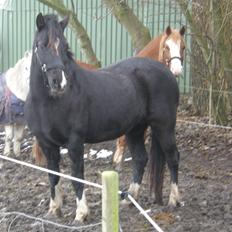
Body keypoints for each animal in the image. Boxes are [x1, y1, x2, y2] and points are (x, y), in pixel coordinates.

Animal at [25, 13, 181, 222]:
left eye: (65, 46)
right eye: (42, 45)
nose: (59, 83)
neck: (48, 102)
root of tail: (167, 72)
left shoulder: (75, 143)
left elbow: (77, 177)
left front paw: (81, 213)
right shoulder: (47, 144)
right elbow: (53, 176)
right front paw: (54, 209)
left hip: (164, 127)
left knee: (173, 158)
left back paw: (174, 200)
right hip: (135, 130)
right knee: (141, 159)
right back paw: (128, 200)